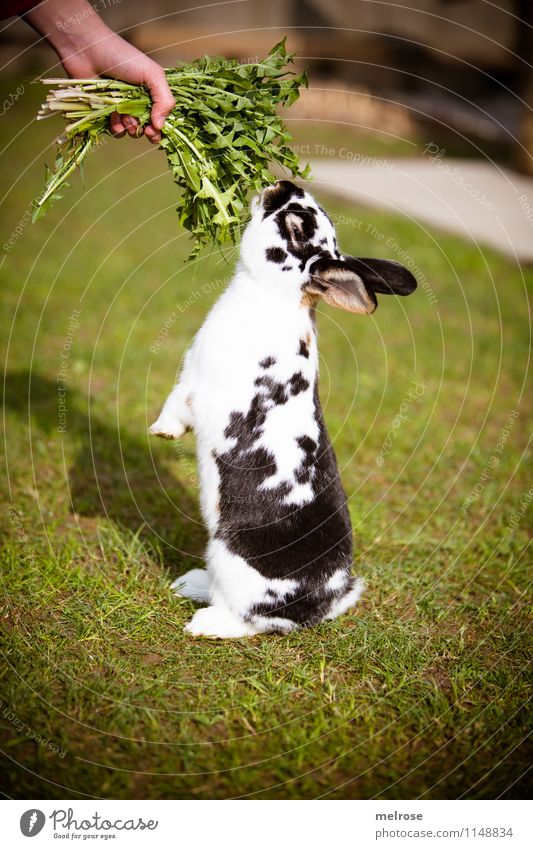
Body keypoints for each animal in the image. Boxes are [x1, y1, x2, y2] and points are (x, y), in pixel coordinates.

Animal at [149, 182, 416, 640]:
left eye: (296, 226)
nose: (283, 185)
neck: (269, 295)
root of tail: (324, 601)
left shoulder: (197, 383)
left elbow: (176, 403)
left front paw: (162, 431)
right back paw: (191, 584)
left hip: (232, 559)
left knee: (256, 619)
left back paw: (205, 623)